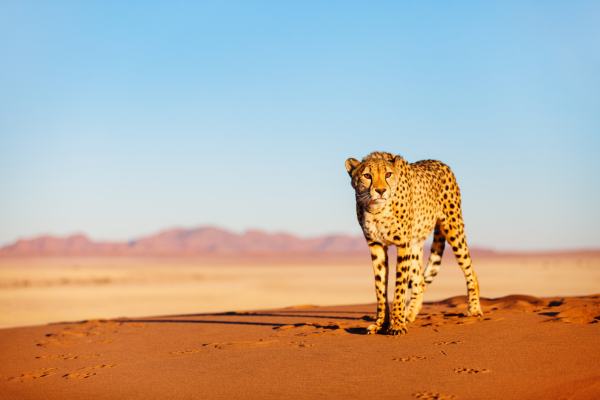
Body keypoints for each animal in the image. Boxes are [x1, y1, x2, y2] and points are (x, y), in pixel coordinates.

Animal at [346, 151, 482, 334]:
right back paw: (409, 315)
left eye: (388, 174)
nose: (380, 190)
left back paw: (474, 310)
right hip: (416, 244)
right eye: (367, 176)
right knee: (420, 282)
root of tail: (440, 162)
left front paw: (396, 324)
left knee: (470, 272)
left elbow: (400, 287)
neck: (377, 210)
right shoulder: (377, 246)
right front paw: (381, 323)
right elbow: (380, 288)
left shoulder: (403, 245)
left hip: (454, 230)